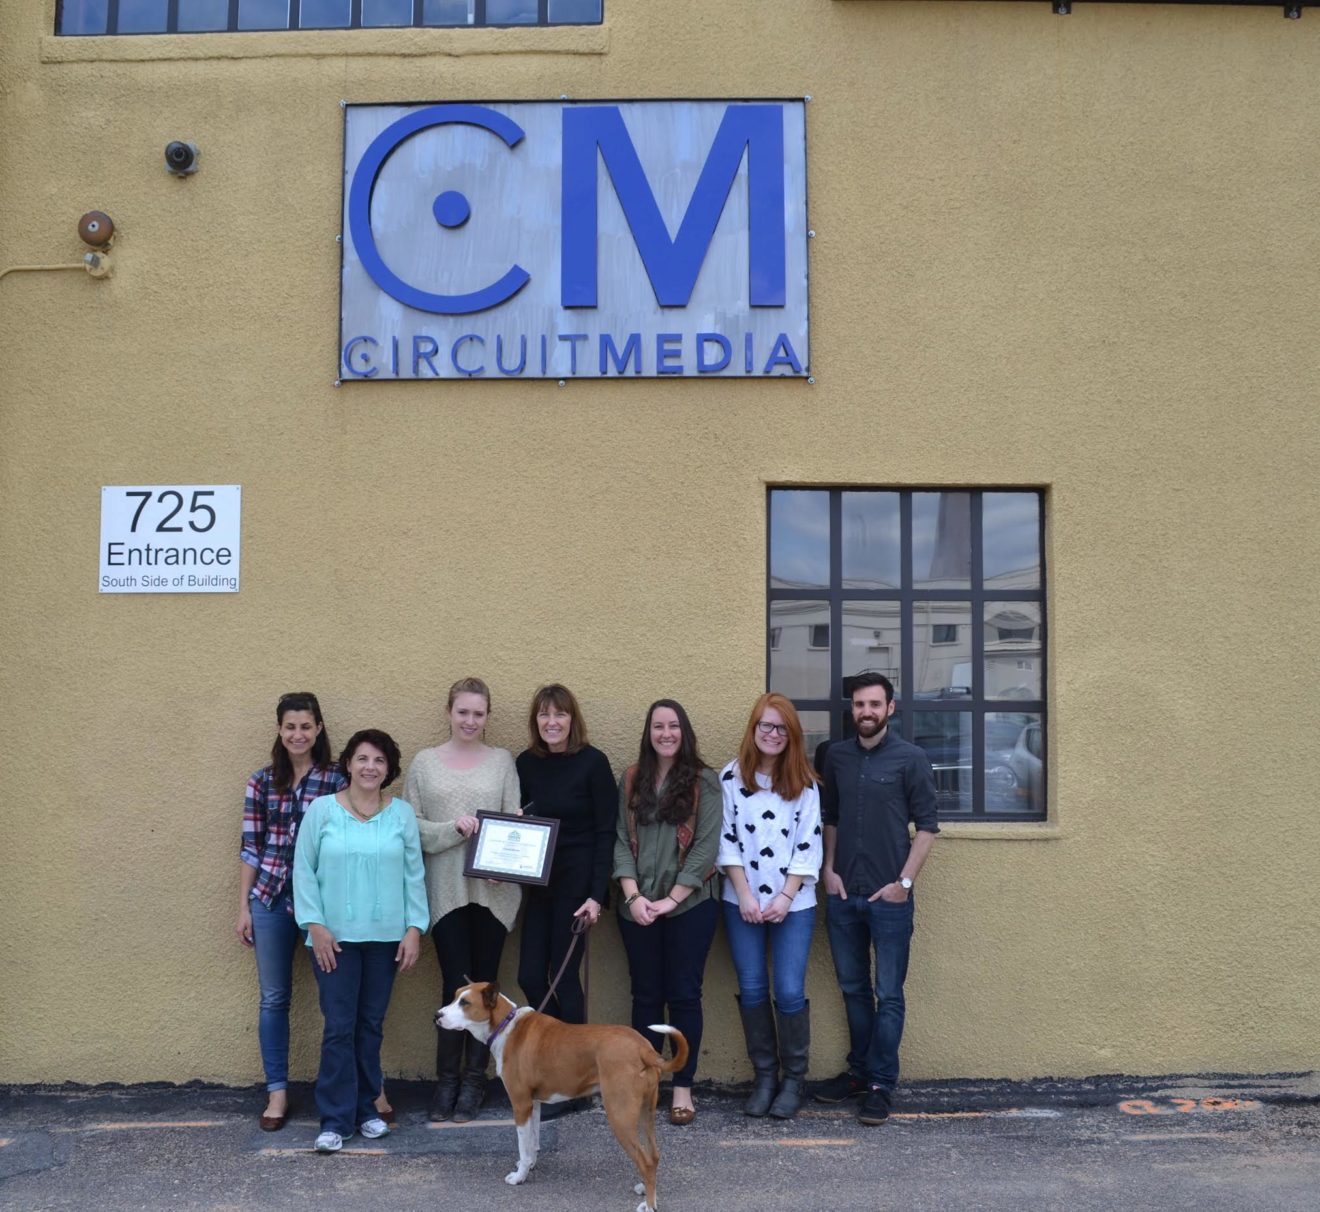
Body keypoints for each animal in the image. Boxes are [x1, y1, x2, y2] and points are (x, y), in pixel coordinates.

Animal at [440, 982, 691, 1212]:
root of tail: (643, 1048)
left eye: (465, 1002)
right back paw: (645, 1188)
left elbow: (523, 1144)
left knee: (645, 1161)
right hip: (644, 1113)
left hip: (619, 1115)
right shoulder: (533, 1104)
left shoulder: (520, 1104)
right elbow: (532, 1141)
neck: (506, 1025)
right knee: (653, 1156)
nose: (437, 1016)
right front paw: (529, 1165)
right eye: (454, 997)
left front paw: (519, 1176)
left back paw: (649, 1204)